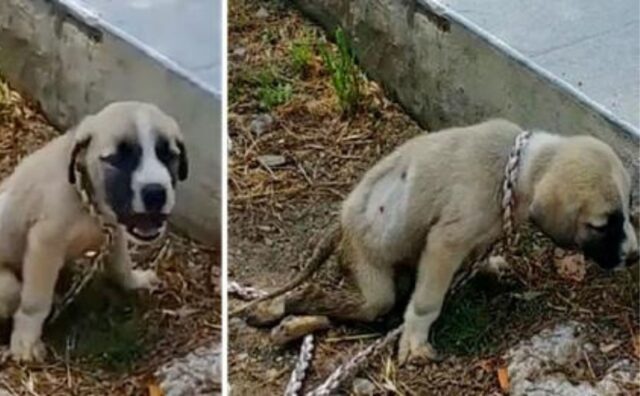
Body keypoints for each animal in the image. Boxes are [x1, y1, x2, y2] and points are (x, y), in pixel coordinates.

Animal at [0, 101, 188, 362]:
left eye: (168, 155)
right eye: (117, 158)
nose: (155, 193)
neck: (86, 199)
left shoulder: (114, 230)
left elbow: (121, 264)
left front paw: (134, 281)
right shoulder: (44, 244)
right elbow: (35, 301)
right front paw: (26, 341)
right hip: (7, 286)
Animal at [244, 118, 636, 366]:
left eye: (628, 210)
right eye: (603, 225)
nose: (633, 257)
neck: (515, 167)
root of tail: (341, 224)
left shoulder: (477, 236)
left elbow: (478, 255)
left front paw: (489, 268)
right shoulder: (445, 243)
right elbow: (426, 302)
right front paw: (415, 341)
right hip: (371, 278)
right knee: (334, 296)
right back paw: (281, 311)